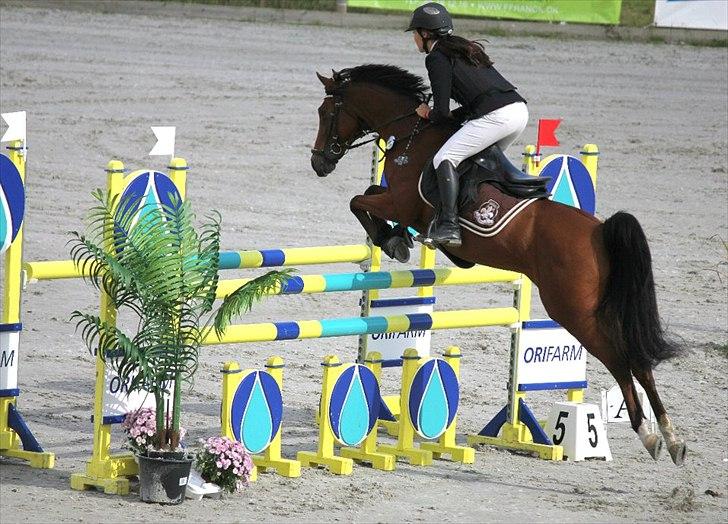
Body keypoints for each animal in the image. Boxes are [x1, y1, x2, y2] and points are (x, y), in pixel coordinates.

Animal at [310, 64, 686, 465]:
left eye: (325, 112)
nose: (319, 162)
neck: (411, 135)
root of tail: (599, 231)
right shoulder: (398, 202)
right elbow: (369, 198)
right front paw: (398, 238)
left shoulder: (401, 201)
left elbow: (358, 200)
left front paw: (392, 240)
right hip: (595, 306)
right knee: (638, 357)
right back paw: (670, 438)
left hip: (573, 310)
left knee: (621, 357)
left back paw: (649, 434)